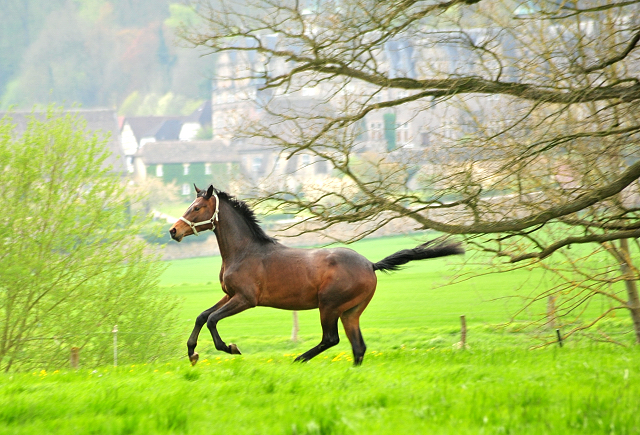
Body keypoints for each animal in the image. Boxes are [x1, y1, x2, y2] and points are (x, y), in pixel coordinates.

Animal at [168, 186, 462, 366]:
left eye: (196, 208)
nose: (173, 231)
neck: (244, 251)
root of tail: (370, 264)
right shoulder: (229, 294)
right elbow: (202, 316)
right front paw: (192, 353)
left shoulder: (246, 299)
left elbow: (212, 320)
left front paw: (231, 348)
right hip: (350, 312)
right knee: (358, 347)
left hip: (329, 306)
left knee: (331, 339)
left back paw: (299, 359)